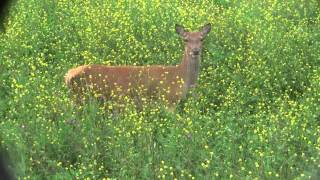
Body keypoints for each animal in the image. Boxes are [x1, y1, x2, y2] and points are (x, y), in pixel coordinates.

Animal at [64, 23, 211, 110]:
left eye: (201, 38)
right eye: (185, 39)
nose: (195, 51)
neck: (181, 77)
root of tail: (67, 76)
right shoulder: (169, 100)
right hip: (81, 97)